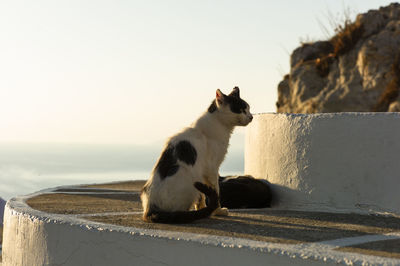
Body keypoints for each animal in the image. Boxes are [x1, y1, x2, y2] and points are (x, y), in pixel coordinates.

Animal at [141, 87, 253, 222]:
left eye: (248, 108)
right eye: (241, 110)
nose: (251, 117)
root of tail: (150, 209)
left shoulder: (203, 172)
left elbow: (203, 197)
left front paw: (204, 209)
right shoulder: (211, 169)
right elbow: (216, 191)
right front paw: (217, 211)